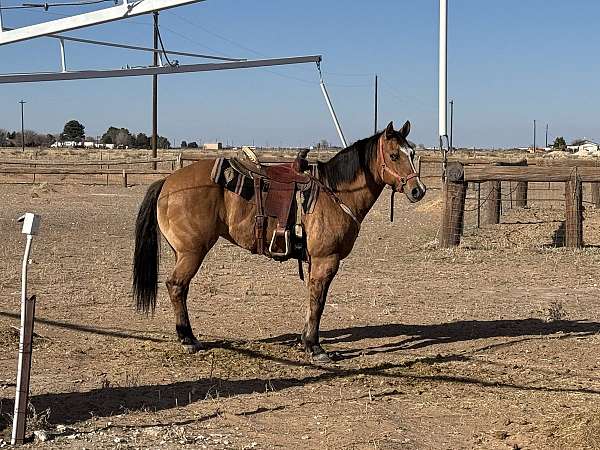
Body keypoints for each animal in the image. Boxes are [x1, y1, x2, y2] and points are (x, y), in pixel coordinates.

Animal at [133, 121, 426, 364]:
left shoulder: (315, 261)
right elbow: (318, 301)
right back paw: (188, 339)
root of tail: (168, 182)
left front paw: (304, 341)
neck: (334, 193)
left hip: (181, 252)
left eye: (412, 153)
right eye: (394, 155)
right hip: (192, 252)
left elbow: (312, 298)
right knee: (177, 286)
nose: (418, 191)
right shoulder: (326, 260)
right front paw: (315, 347)